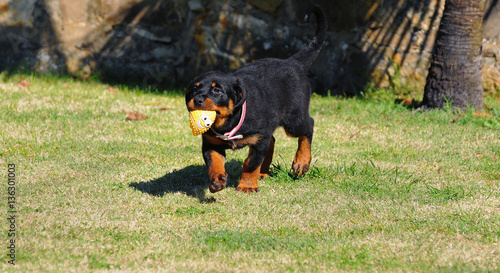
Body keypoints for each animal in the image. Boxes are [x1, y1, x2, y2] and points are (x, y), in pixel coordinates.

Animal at [186, 3, 326, 191]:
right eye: (194, 89)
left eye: (217, 90)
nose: (198, 99)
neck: (228, 123)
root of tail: (293, 63)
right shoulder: (211, 143)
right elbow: (214, 162)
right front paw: (217, 179)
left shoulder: (259, 140)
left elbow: (250, 163)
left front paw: (247, 186)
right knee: (272, 140)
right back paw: (263, 171)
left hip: (293, 119)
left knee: (308, 126)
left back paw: (301, 162)